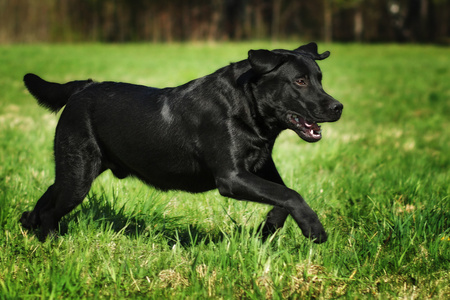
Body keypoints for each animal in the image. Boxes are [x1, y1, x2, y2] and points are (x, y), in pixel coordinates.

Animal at [19, 42, 342, 244]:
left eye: (320, 78)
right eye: (299, 81)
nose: (338, 107)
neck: (245, 105)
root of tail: (82, 87)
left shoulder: (261, 168)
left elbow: (283, 195)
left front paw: (268, 228)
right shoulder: (232, 177)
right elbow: (291, 195)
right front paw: (314, 229)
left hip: (75, 172)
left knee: (45, 199)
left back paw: (26, 224)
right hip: (78, 175)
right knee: (50, 210)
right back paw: (51, 243)